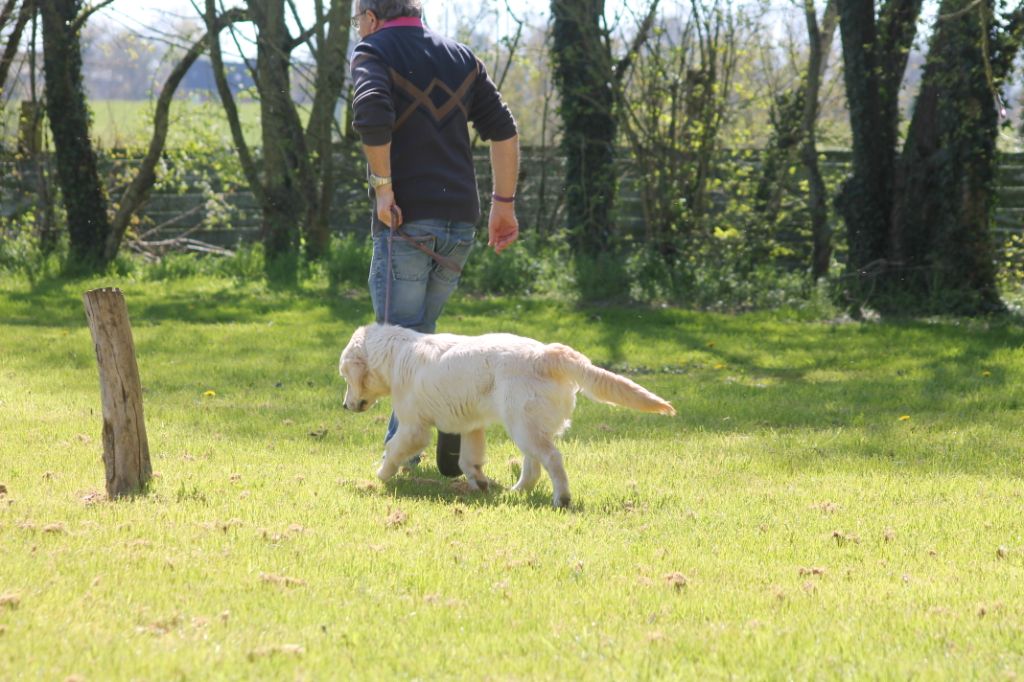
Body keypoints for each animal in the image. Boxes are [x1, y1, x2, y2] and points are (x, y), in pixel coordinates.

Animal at [339, 323, 675, 503]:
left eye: (344, 375)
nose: (344, 405)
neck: (396, 355)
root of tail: (548, 353)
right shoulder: (470, 425)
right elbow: (467, 459)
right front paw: (479, 483)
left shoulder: (413, 427)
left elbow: (393, 448)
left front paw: (381, 474)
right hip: (528, 425)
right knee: (534, 465)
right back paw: (516, 491)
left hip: (523, 425)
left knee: (552, 459)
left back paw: (561, 498)